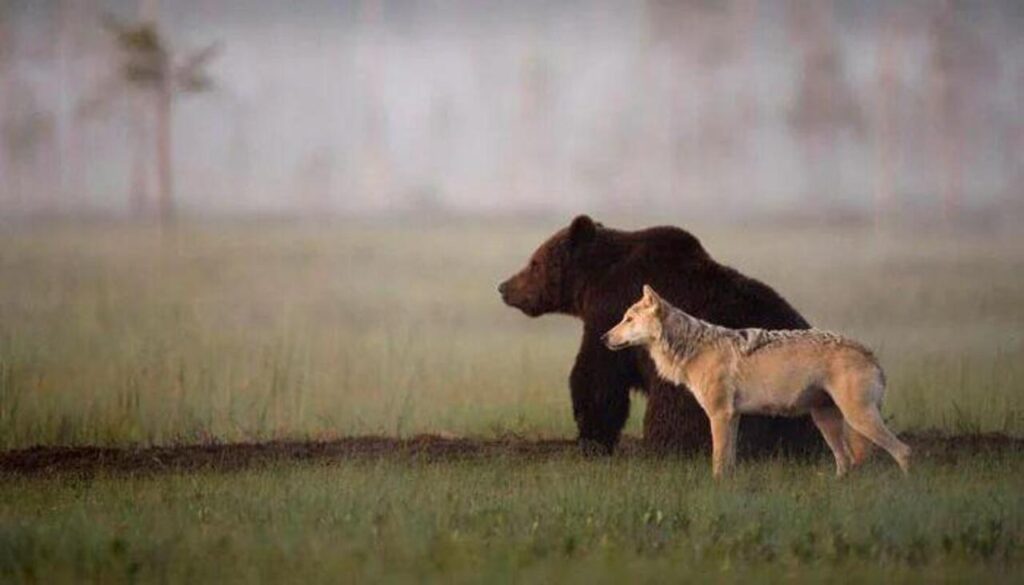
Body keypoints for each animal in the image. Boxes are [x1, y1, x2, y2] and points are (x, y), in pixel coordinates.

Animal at [498, 215, 822, 456]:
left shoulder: (611, 311)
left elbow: (597, 377)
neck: (594, 281)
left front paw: (591, 439)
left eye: (535, 263)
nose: (504, 286)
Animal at [603, 285, 911, 478]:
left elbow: (718, 461)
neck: (693, 348)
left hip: (858, 418)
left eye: (628, 319)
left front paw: (717, 487)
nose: (603, 338)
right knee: (846, 461)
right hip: (827, 421)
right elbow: (729, 461)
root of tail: (868, 352)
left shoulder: (720, 415)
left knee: (903, 451)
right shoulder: (733, 416)